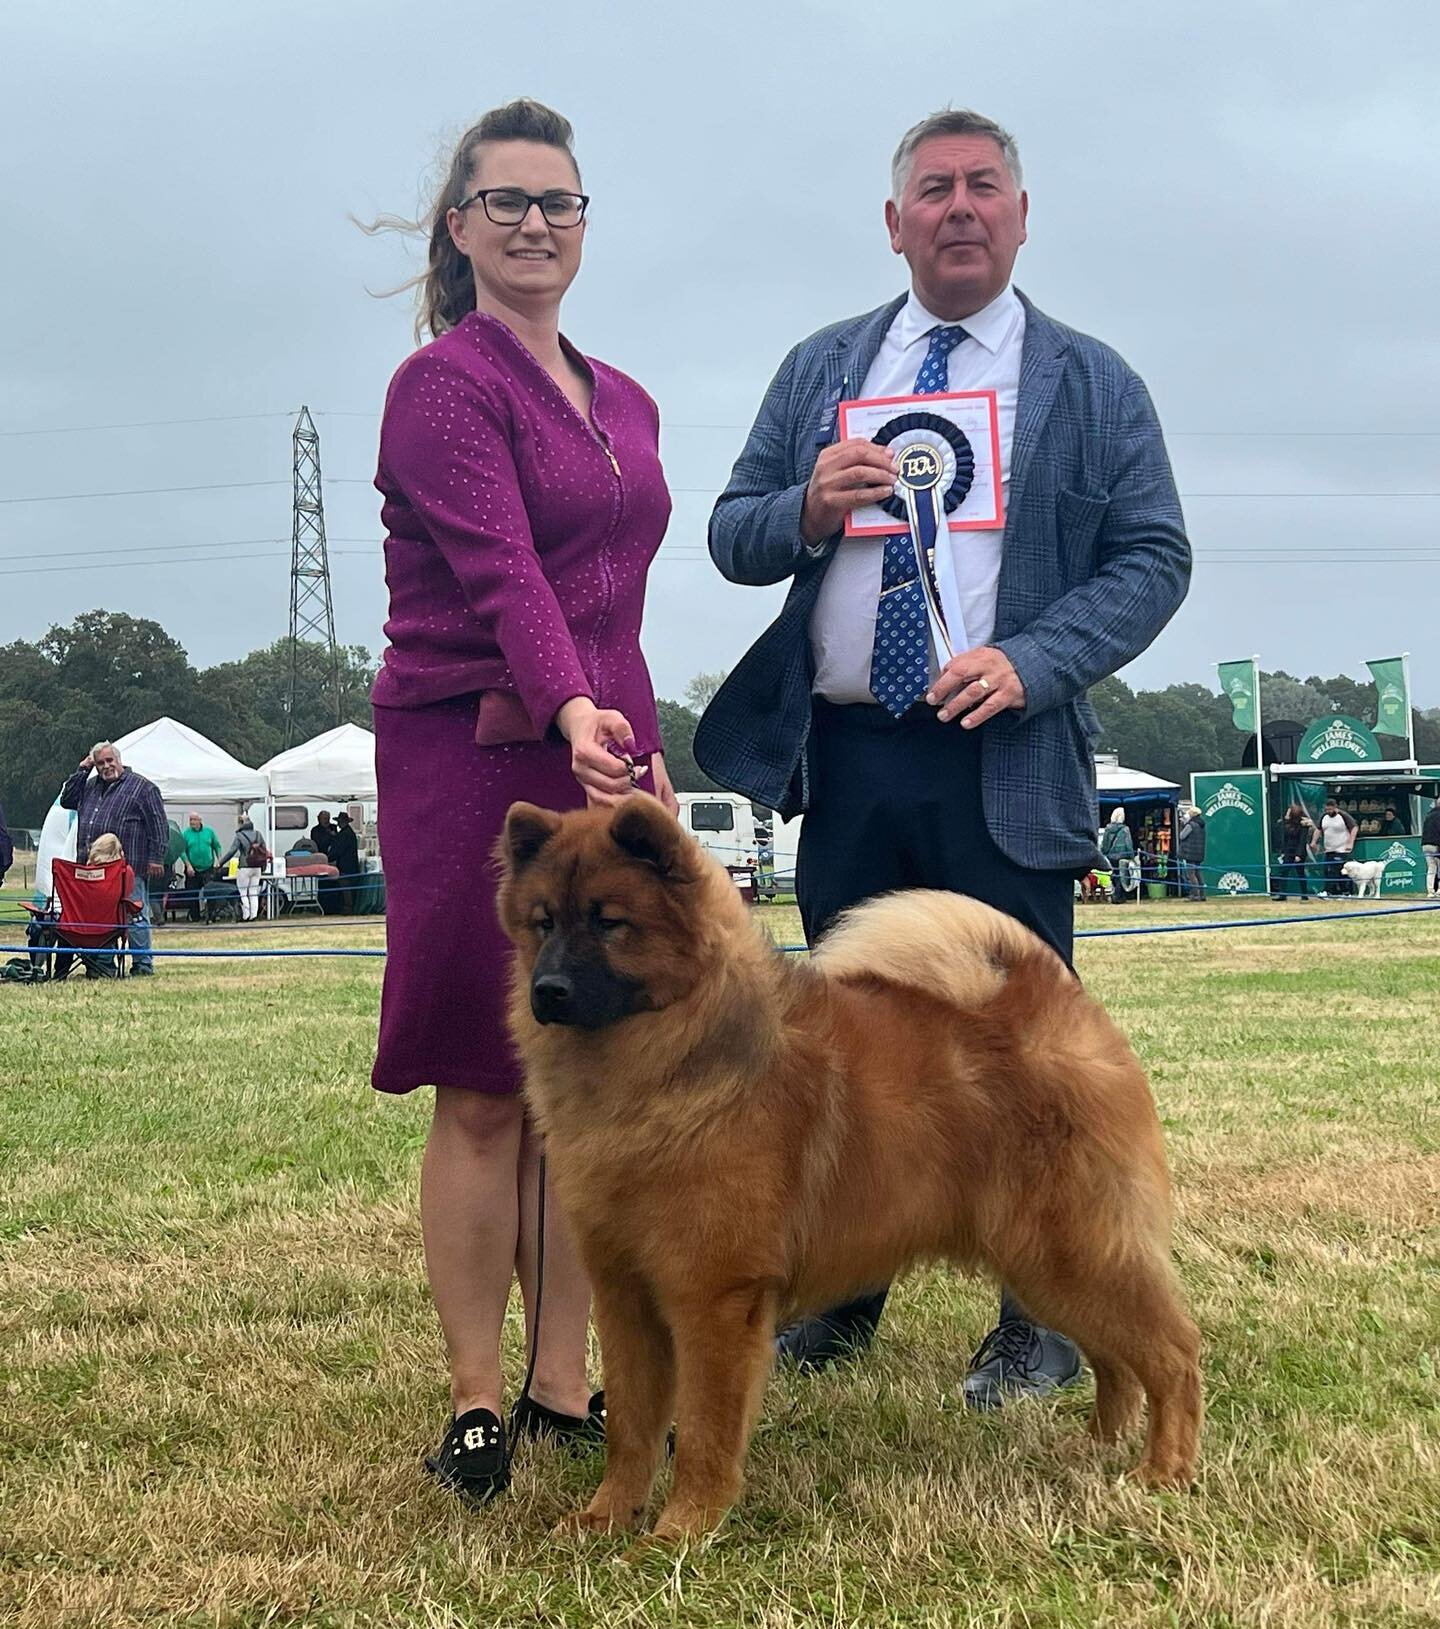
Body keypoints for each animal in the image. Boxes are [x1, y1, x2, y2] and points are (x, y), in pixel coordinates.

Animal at [498, 794, 1205, 1544]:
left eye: (610, 922)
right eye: (543, 922)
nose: (548, 989)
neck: (667, 1063)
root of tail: (1062, 1013)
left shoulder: (712, 1297)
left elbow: (704, 1431)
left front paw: (681, 1530)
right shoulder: (626, 1293)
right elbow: (631, 1427)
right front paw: (605, 1519)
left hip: (1071, 1253)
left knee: (1172, 1354)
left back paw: (1164, 1470)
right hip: (1045, 1266)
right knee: (1115, 1359)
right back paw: (1099, 1444)